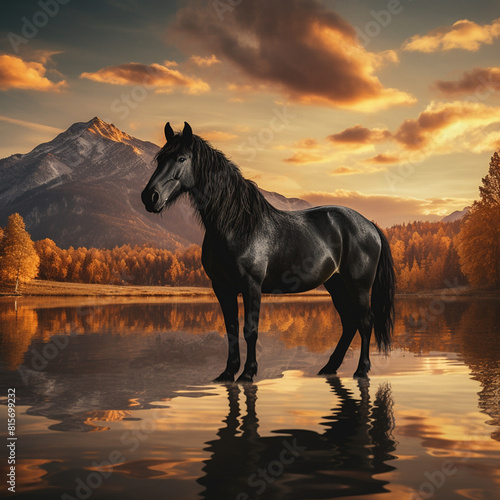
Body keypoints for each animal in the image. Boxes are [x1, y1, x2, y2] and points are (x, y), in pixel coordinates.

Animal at [141, 121, 394, 382]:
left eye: (181, 158)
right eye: (160, 159)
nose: (150, 197)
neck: (236, 226)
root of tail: (370, 225)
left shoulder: (252, 285)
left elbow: (250, 329)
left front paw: (248, 373)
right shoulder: (222, 288)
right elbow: (231, 328)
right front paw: (228, 372)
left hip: (359, 286)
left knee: (365, 322)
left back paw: (361, 369)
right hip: (336, 284)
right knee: (350, 322)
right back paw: (329, 368)